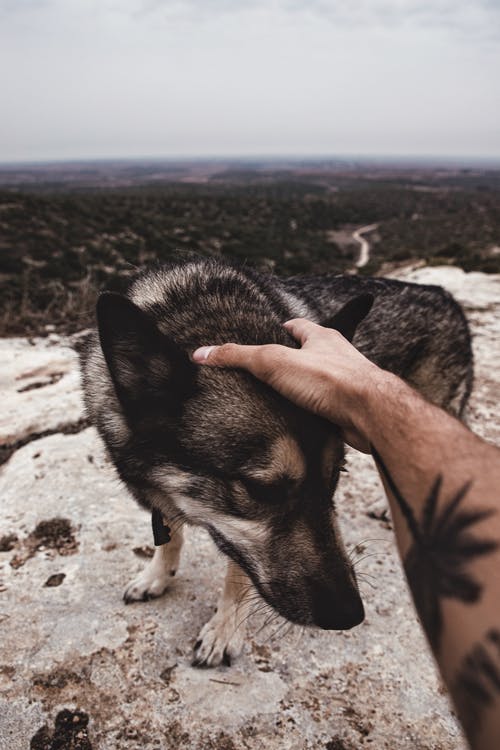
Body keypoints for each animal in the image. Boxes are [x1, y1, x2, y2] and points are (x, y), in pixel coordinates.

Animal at [81, 256, 472, 668]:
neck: (212, 318)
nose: (349, 615)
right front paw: (156, 575)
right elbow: (169, 534)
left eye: (335, 476)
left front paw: (224, 630)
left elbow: (236, 572)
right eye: (262, 489)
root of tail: (443, 294)